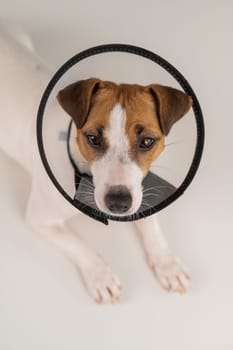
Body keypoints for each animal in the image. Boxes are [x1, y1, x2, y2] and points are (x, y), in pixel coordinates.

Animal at [0, 27, 191, 302]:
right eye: (93, 138)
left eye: (147, 141)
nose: (119, 204)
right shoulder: (40, 218)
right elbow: (80, 246)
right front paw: (101, 277)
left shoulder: (140, 190)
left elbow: (151, 223)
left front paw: (167, 264)